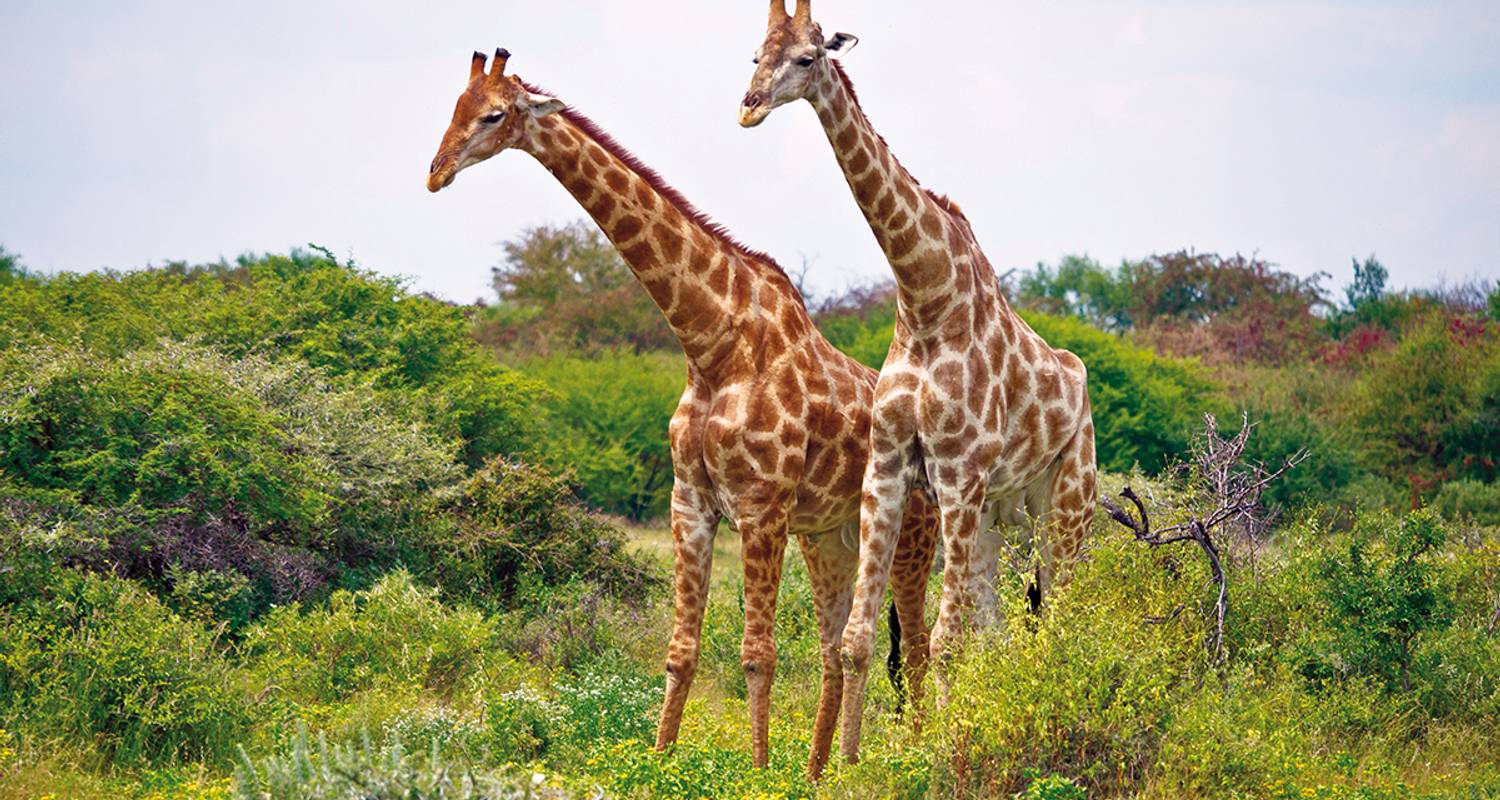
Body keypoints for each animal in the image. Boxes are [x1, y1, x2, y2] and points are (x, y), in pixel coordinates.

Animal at [426, 46, 936, 774]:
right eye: (455, 107)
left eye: (494, 114)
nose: (435, 171)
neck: (711, 341)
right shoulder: (690, 501)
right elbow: (680, 653)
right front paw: (661, 761)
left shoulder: (761, 507)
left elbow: (756, 655)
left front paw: (759, 774)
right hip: (830, 536)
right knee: (835, 650)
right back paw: (819, 773)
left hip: (912, 537)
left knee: (915, 649)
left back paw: (910, 759)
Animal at [741, 0, 1104, 762]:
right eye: (755, 54)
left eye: (807, 58)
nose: (748, 108)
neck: (925, 298)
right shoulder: (887, 466)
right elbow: (859, 639)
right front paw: (848, 766)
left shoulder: (958, 473)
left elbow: (941, 641)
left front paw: (934, 756)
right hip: (997, 513)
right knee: (1001, 631)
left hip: (1067, 502)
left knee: (1059, 615)